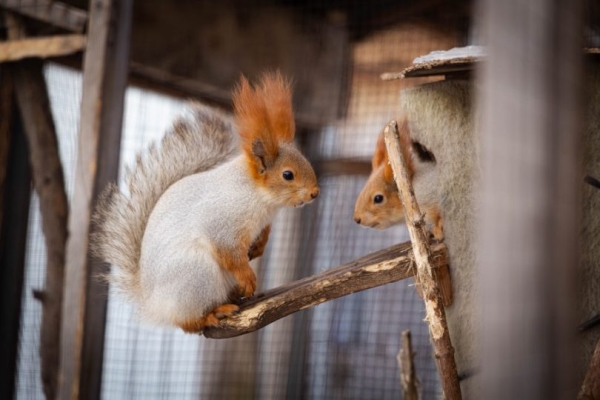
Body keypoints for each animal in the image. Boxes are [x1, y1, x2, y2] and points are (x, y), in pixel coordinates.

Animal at [92, 72, 322, 334]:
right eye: (288, 175)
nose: (315, 193)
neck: (259, 197)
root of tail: (153, 304)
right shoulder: (222, 224)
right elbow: (229, 252)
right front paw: (248, 277)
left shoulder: (264, 221)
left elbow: (262, 235)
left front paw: (259, 247)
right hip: (197, 275)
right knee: (187, 323)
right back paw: (214, 313)